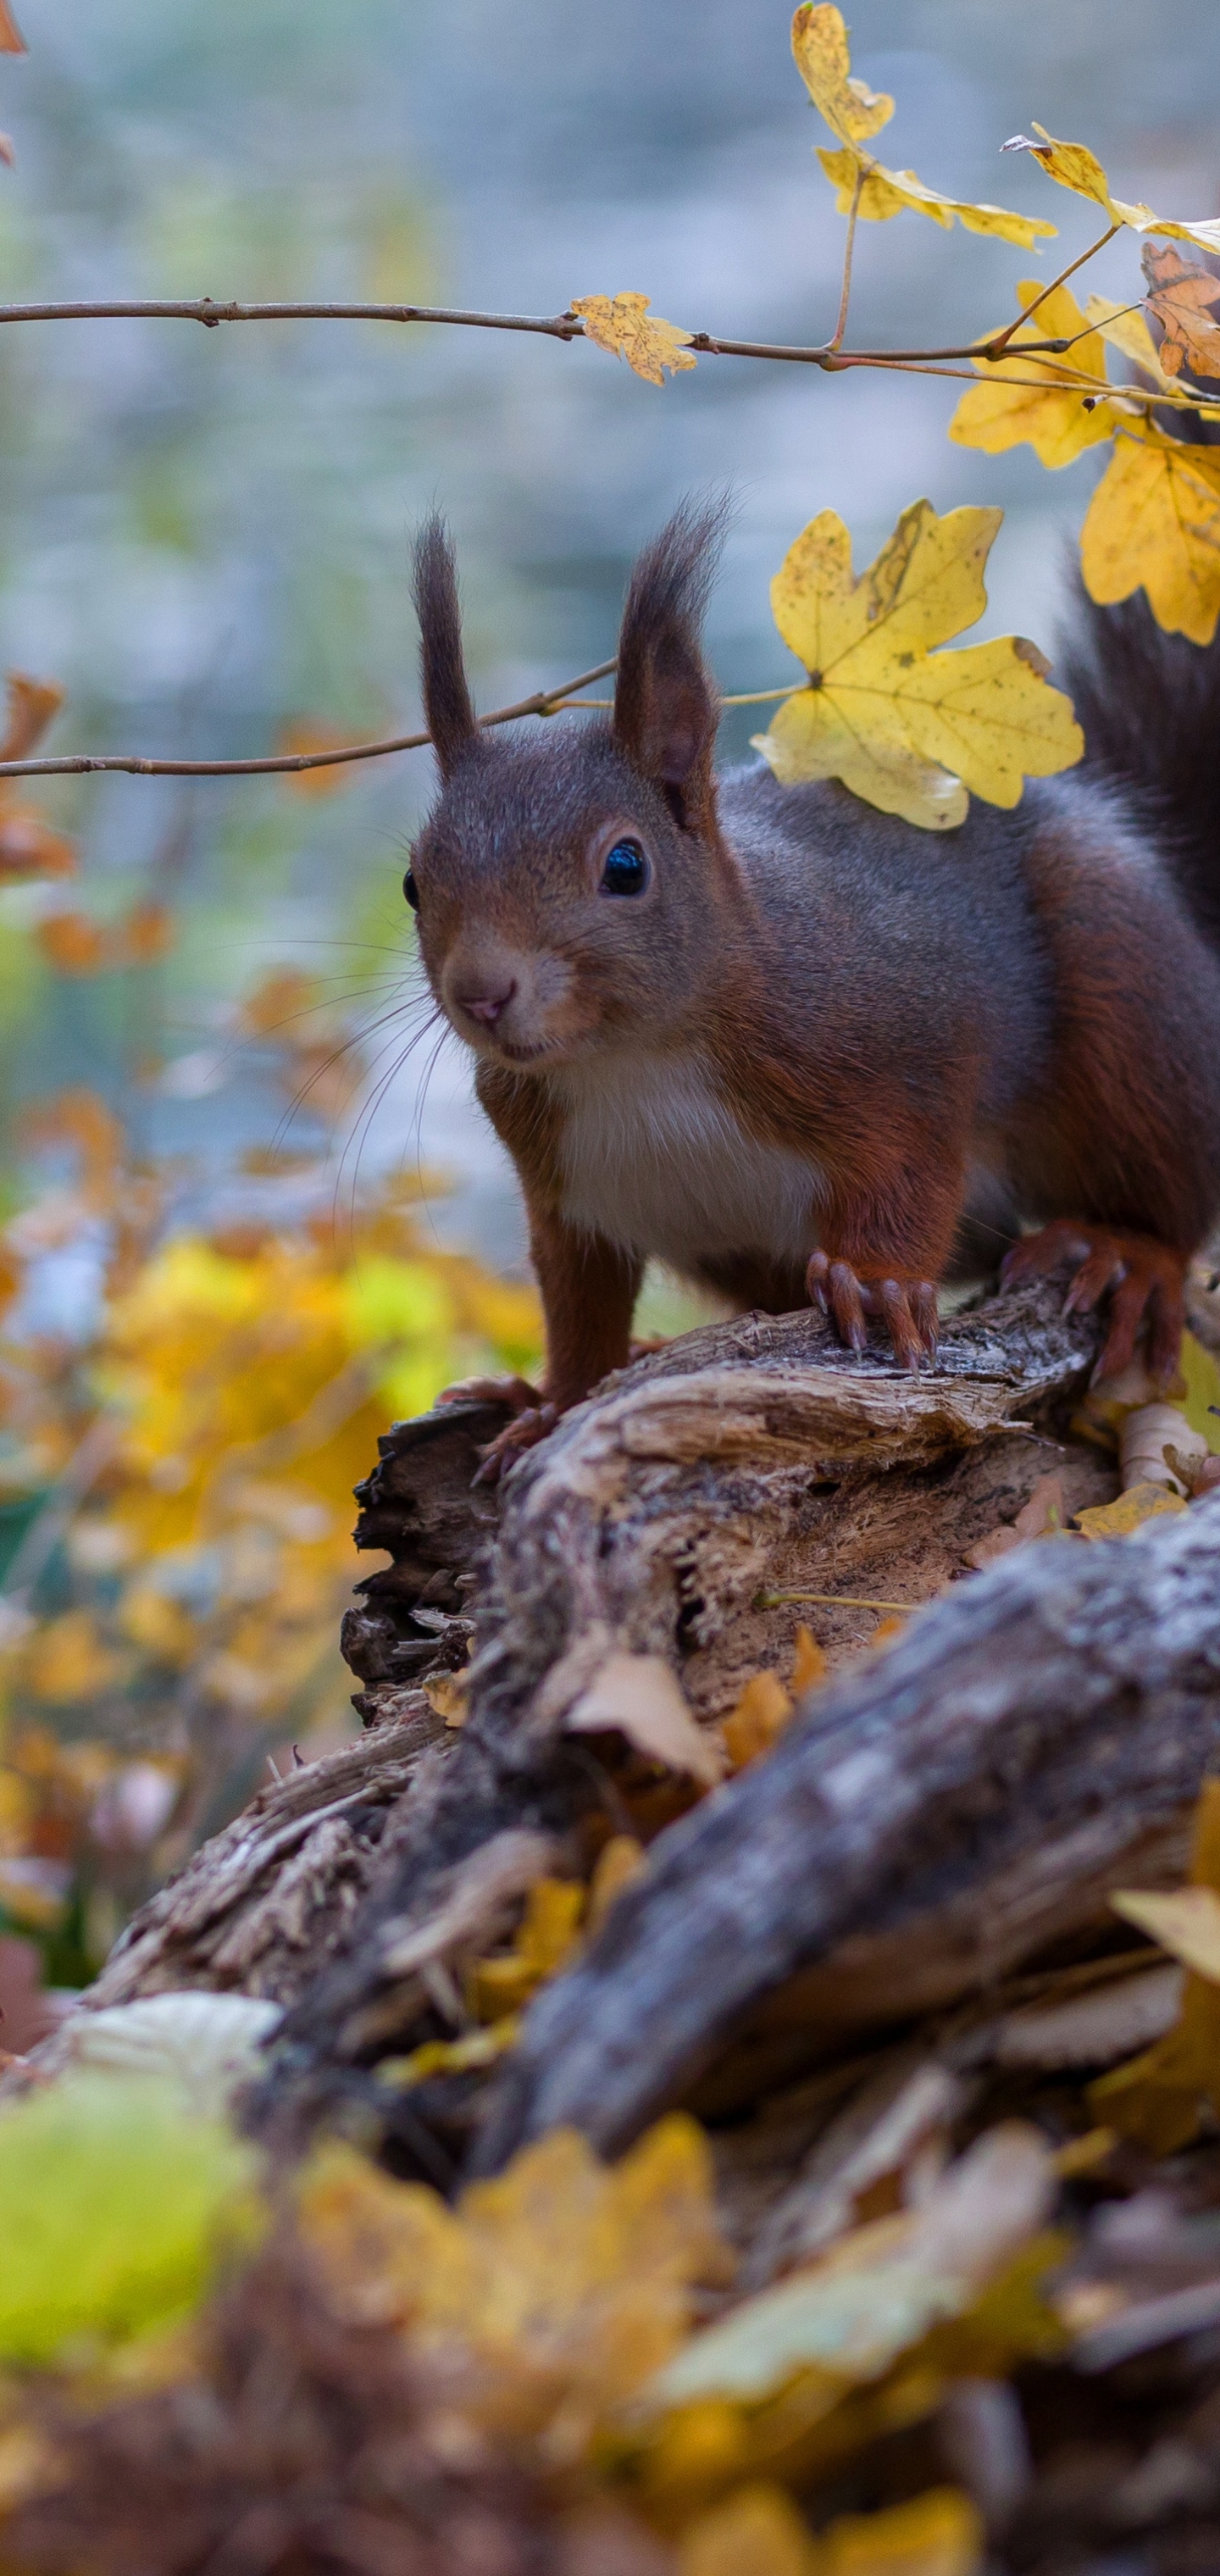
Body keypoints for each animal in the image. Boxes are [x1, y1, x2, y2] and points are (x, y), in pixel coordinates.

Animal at [403, 499, 1220, 1473]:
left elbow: (916, 1164)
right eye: (413, 883)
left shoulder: (902, 1026)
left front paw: (876, 1280)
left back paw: (1124, 1253)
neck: (633, 1061)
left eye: (626, 866)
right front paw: (551, 1403)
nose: (482, 992)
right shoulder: (569, 1199)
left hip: (1129, 1000)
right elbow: (579, 1311)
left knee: (1173, 1188)